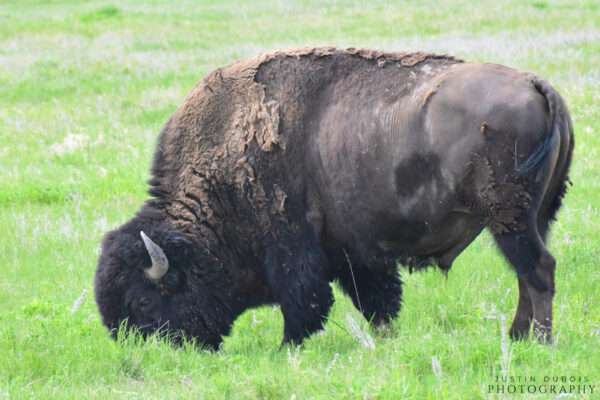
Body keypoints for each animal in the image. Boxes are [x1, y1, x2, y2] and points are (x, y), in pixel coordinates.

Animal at [94, 47, 572, 348]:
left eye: (141, 300)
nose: (145, 350)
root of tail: (536, 84)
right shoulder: (354, 254)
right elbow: (377, 303)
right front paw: (385, 340)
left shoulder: (293, 249)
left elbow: (306, 303)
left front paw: (287, 347)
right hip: (534, 217)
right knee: (528, 274)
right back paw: (518, 337)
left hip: (508, 219)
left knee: (538, 270)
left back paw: (539, 341)